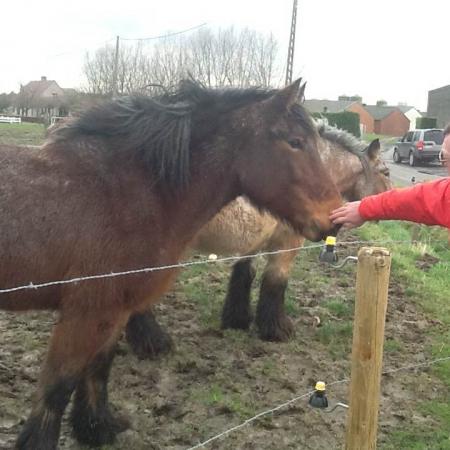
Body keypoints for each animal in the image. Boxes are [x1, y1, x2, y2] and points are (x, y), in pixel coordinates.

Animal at [0, 79, 342, 448]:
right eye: (295, 142)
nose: (333, 218)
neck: (126, 195)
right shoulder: (86, 314)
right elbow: (57, 389)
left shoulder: (113, 313)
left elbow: (99, 368)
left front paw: (97, 428)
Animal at [125, 121, 392, 356]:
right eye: (386, 172)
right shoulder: (287, 244)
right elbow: (275, 281)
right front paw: (276, 329)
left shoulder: (252, 241)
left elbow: (244, 275)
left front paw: (238, 319)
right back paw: (153, 342)